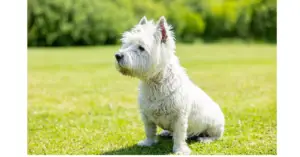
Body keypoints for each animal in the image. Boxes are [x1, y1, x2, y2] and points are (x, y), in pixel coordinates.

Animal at [115, 15, 225, 155]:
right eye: (126, 44)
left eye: (141, 48)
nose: (118, 55)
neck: (155, 83)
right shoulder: (146, 114)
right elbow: (149, 130)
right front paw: (148, 143)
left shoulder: (179, 116)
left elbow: (179, 135)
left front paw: (180, 150)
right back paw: (166, 132)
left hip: (214, 124)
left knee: (215, 135)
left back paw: (205, 139)